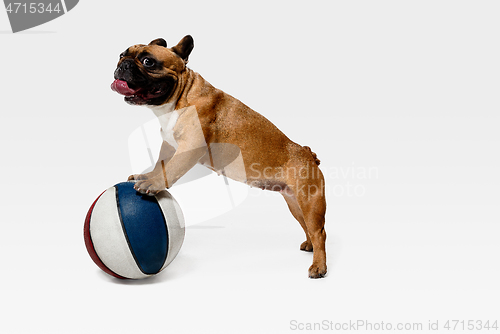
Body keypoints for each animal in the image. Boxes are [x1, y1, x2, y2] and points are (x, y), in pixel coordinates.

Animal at [111, 35, 326, 278]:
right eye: (122, 54)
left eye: (148, 61)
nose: (123, 64)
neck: (181, 95)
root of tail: (309, 154)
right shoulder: (169, 145)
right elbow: (162, 164)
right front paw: (147, 176)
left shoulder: (190, 146)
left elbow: (172, 168)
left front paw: (153, 184)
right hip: (295, 203)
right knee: (307, 226)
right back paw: (309, 246)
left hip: (310, 201)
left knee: (319, 232)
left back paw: (319, 266)